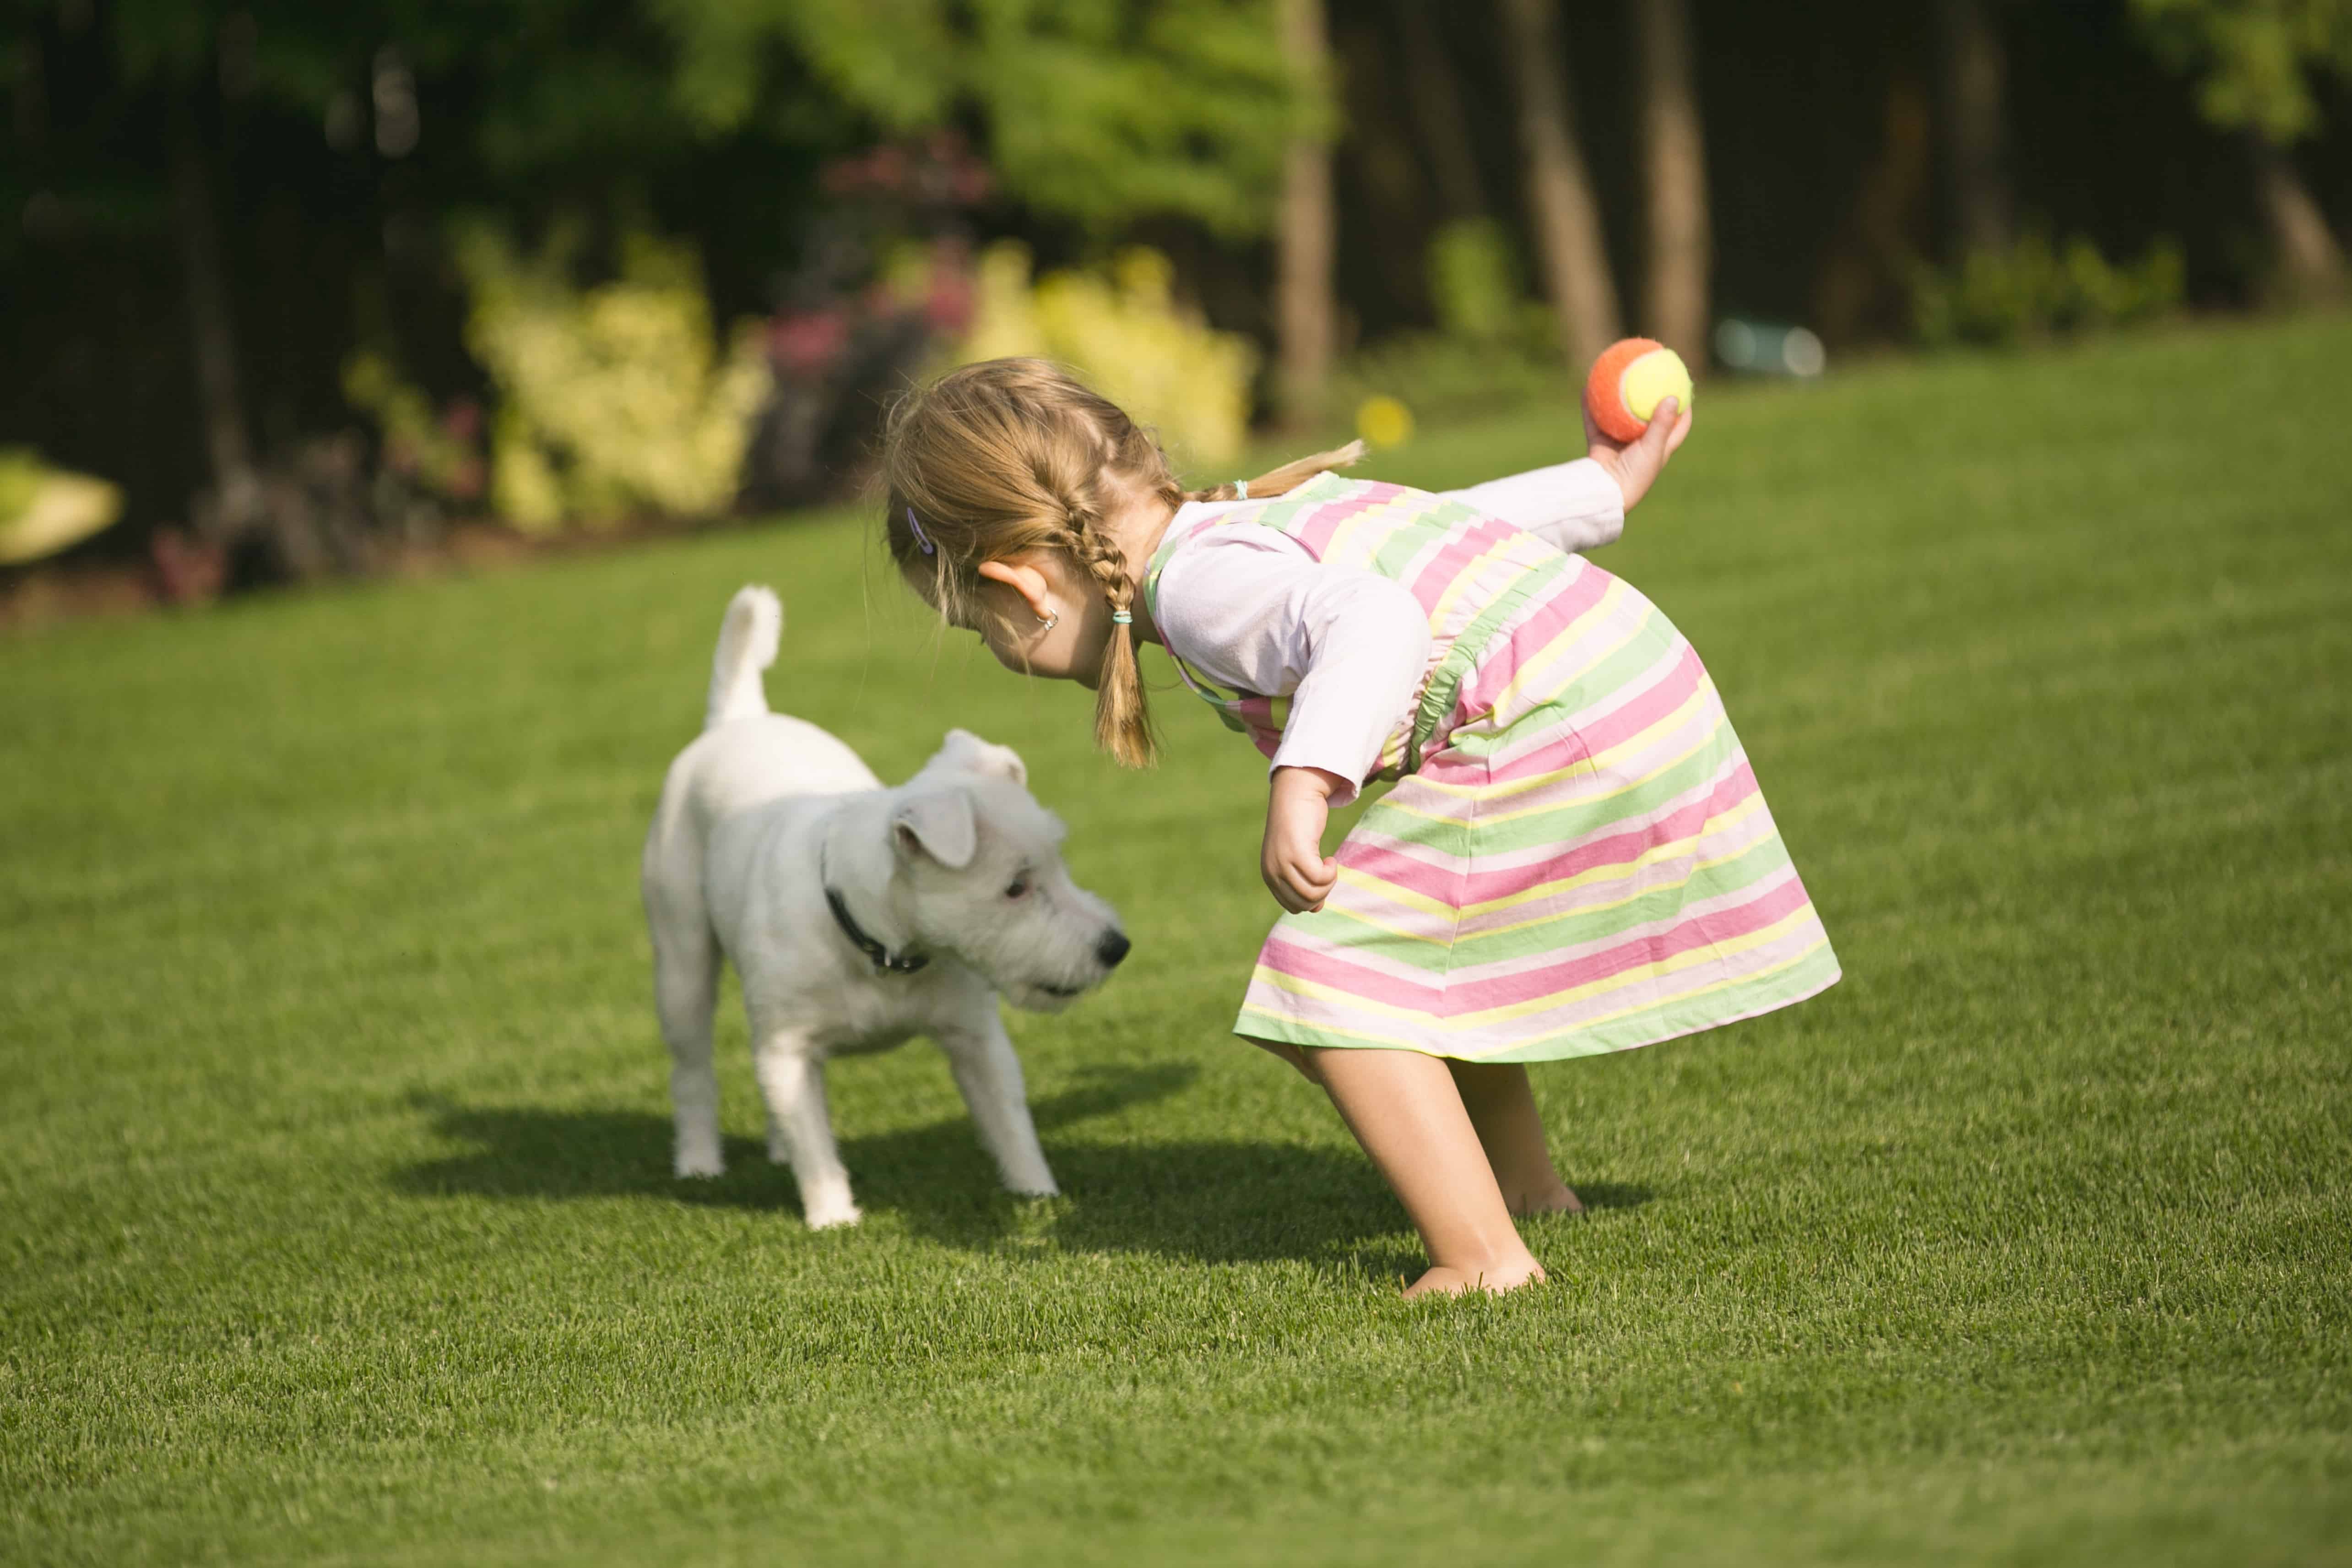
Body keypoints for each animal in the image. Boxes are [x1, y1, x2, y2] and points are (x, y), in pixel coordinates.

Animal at [639, 585, 1124, 1222]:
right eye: (1015, 886)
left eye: (1058, 864)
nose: (1116, 946)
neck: (882, 946)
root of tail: (739, 719)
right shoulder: (787, 1051)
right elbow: (815, 1144)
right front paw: (832, 1218)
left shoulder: (976, 1037)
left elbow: (1010, 1123)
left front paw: (1036, 1193)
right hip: (681, 961)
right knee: (692, 1070)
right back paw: (698, 1162)